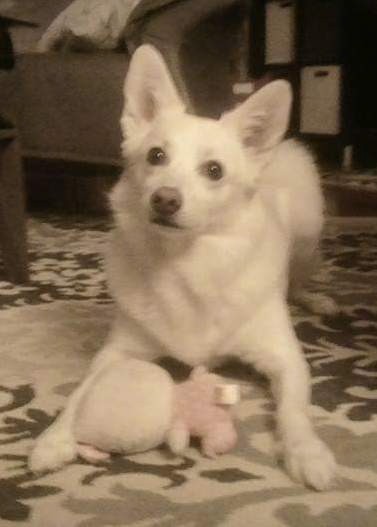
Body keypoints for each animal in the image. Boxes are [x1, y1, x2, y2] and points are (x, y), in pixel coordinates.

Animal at [28, 44, 334, 490]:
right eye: (156, 156)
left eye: (214, 171)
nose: (165, 199)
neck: (186, 263)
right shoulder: (115, 353)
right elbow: (82, 390)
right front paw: (55, 437)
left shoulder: (287, 361)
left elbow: (295, 410)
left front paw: (307, 452)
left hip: (310, 232)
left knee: (300, 277)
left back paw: (318, 300)